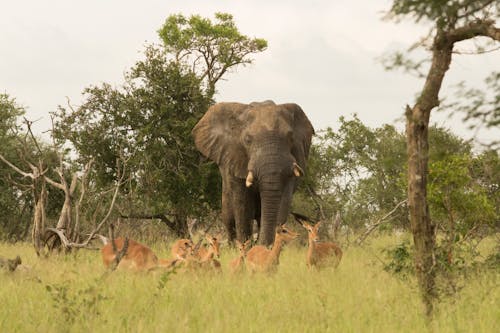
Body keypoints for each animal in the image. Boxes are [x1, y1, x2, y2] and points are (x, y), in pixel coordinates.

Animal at [193, 100, 314, 245]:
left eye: (291, 138)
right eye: (247, 140)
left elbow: (283, 201)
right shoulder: (234, 160)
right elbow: (243, 206)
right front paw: (246, 247)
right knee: (229, 218)